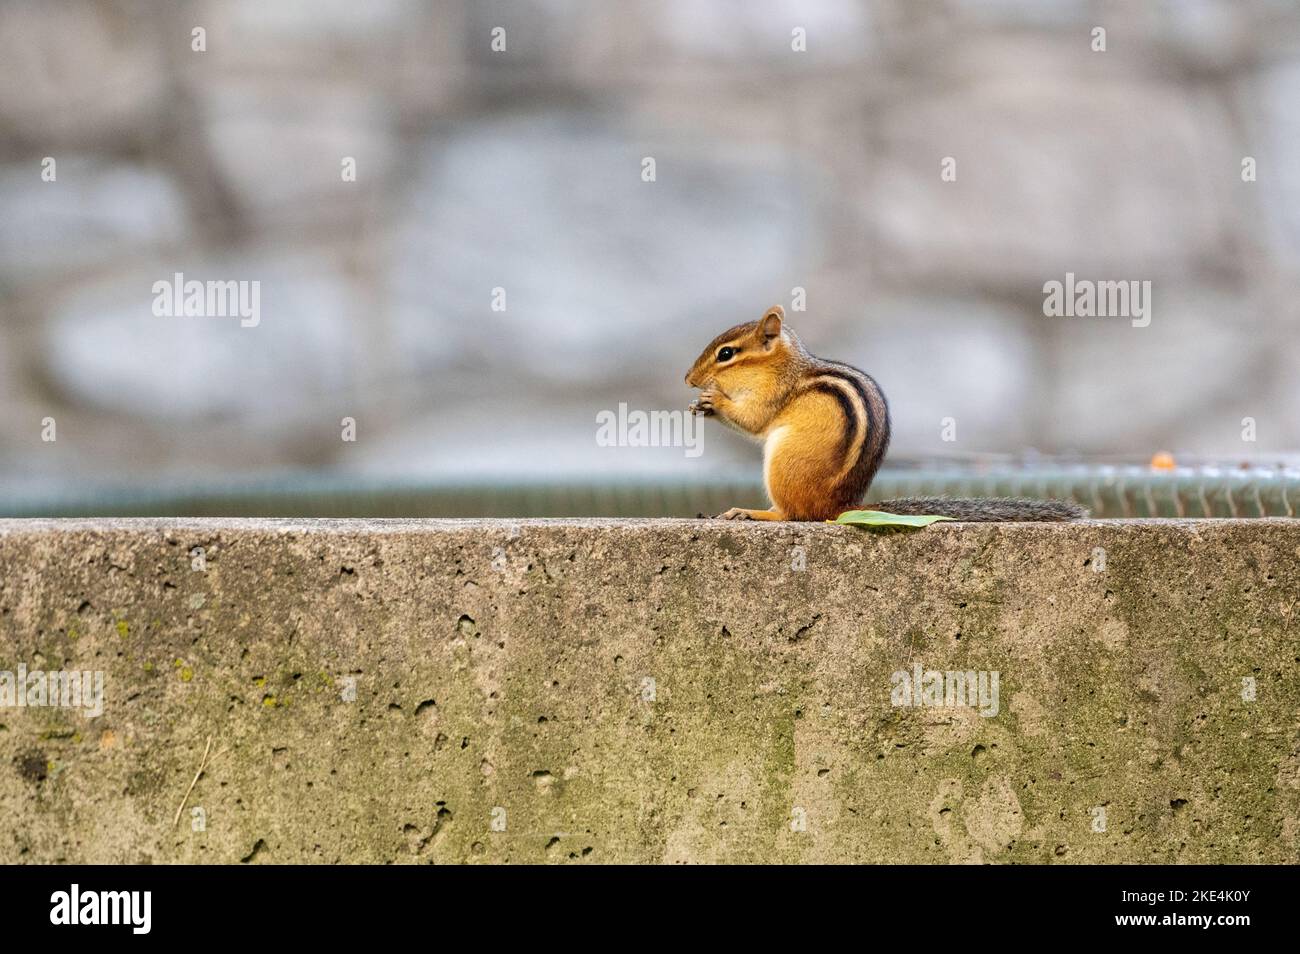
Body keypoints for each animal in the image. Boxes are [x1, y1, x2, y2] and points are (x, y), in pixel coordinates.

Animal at [685, 304, 1086, 523]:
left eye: (726, 354)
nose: (688, 379)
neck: (785, 366)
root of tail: (840, 506)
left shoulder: (773, 394)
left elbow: (754, 420)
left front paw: (713, 401)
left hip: (782, 464)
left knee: (794, 514)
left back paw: (753, 511)